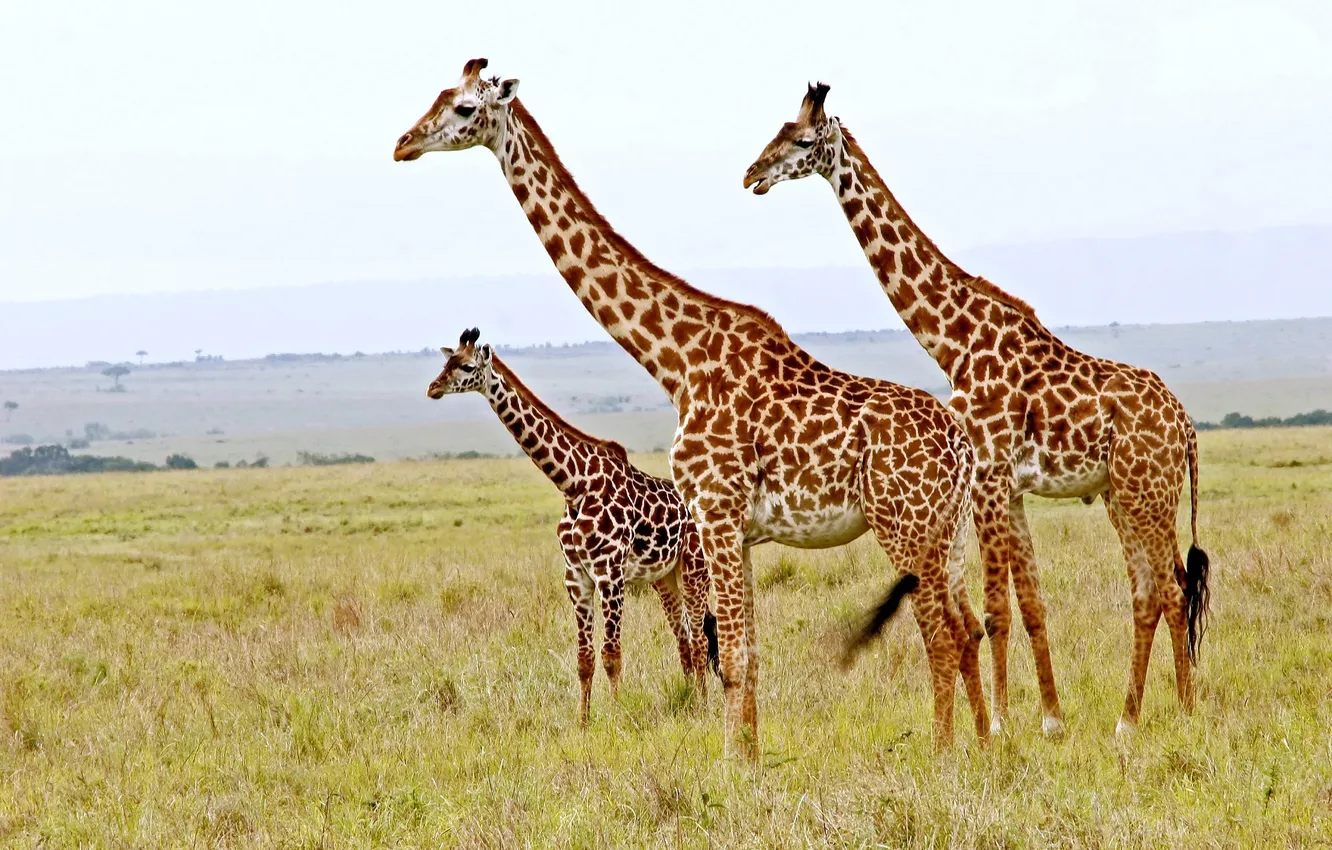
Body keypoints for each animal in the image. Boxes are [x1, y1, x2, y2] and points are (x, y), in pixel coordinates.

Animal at [428, 327, 719, 725]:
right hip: (664, 578)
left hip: (694, 569)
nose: (433, 387)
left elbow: (611, 655)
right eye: (447, 362)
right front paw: (582, 722)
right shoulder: (576, 576)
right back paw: (690, 701)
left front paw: (617, 716)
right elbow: (584, 659)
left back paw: (703, 707)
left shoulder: (610, 573)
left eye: (468, 366)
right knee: (686, 641)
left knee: (701, 640)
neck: (574, 484)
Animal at [743, 83, 1211, 739]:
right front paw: (1049, 718)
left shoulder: (989, 476)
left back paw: (1174, 715)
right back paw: (1136, 716)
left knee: (1170, 589)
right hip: (1124, 493)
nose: (752, 175)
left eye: (804, 140)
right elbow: (1030, 602)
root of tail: (1186, 425)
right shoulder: (1007, 486)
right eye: (779, 128)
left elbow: (995, 608)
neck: (954, 341)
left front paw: (1002, 724)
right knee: (1153, 590)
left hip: (1147, 491)